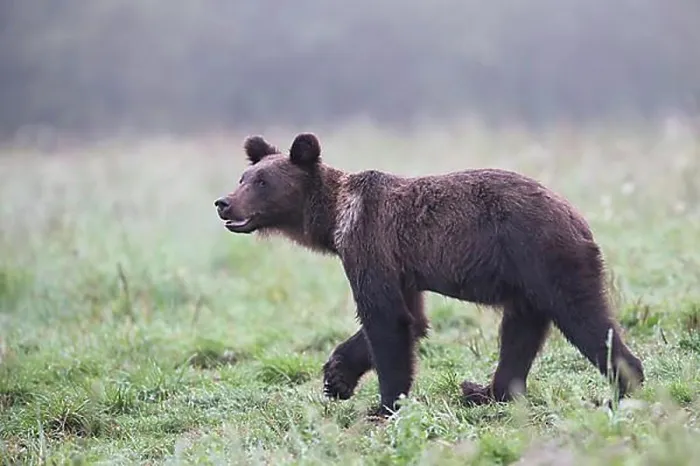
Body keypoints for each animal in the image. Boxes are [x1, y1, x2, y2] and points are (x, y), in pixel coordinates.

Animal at [214, 132, 644, 416]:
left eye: (262, 182)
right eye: (242, 178)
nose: (223, 203)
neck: (335, 221)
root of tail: (578, 217)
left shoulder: (369, 243)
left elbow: (386, 321)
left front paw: (383, 404)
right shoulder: (401, 268)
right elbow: (408, 319)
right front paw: (337, 377)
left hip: (544, 256)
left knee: (582, 318)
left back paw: (621, 387)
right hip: (526, 282)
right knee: (520, 334)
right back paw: (484, 391)